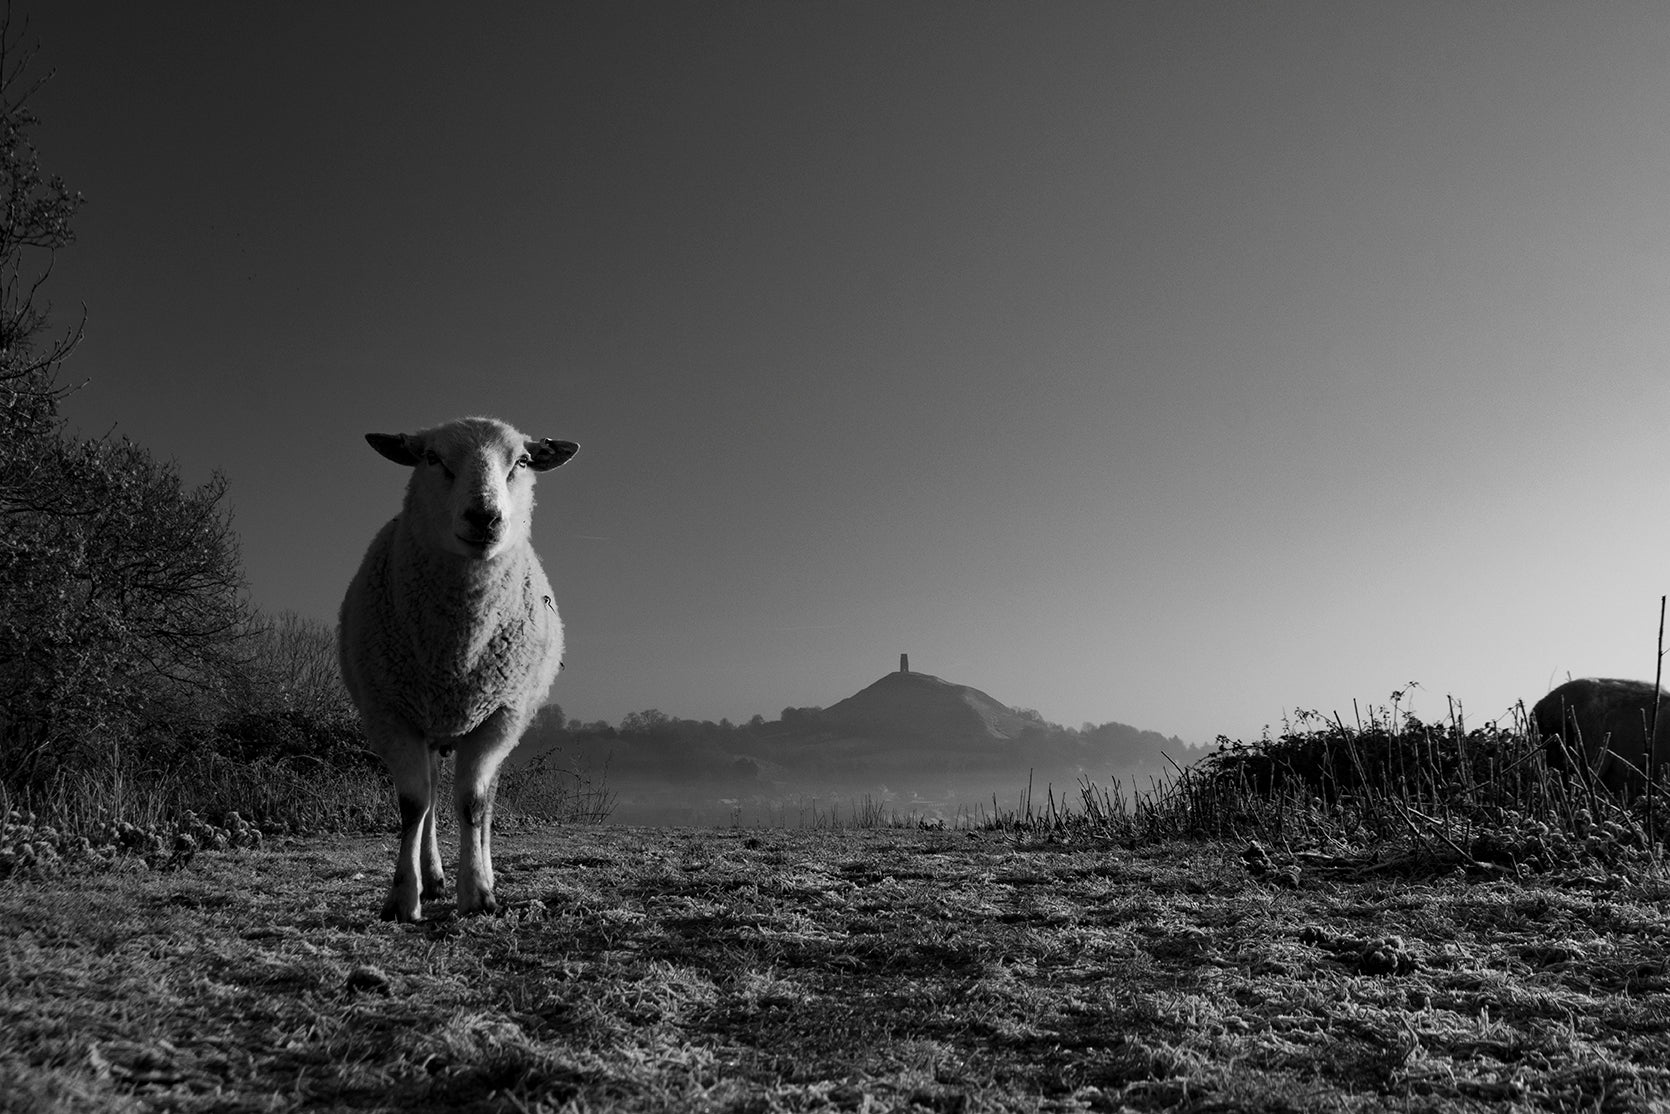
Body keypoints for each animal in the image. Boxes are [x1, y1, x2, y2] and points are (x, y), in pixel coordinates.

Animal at [335, 414, 584, 921]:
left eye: (522, 461)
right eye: (432, 458)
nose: (484, 517)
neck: (456, 651)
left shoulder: (500, 717)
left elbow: (472, 804)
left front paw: (479, 894)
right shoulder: (389, 714)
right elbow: (413, 805)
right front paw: (402, 898)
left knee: (482, 804)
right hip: (427, 723)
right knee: (430, 797)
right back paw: (431, 878)